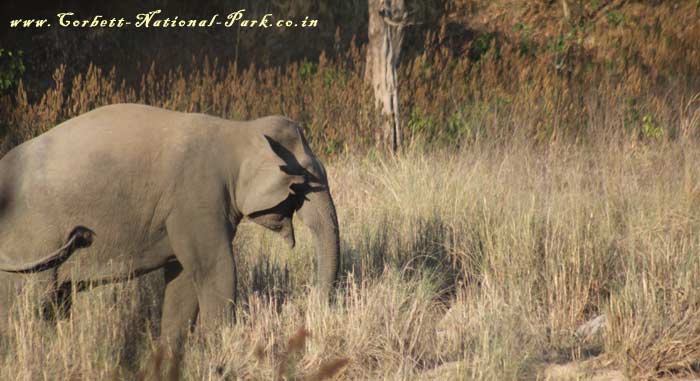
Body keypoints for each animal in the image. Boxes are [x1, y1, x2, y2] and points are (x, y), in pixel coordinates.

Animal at [0, 103, 340, 350]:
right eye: (306, 180)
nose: (311, 311)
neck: (237, 129)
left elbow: (184, 278)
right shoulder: (196, 198)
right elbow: (216, 270)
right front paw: (220, 349)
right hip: (31, 240)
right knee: (30, 303)